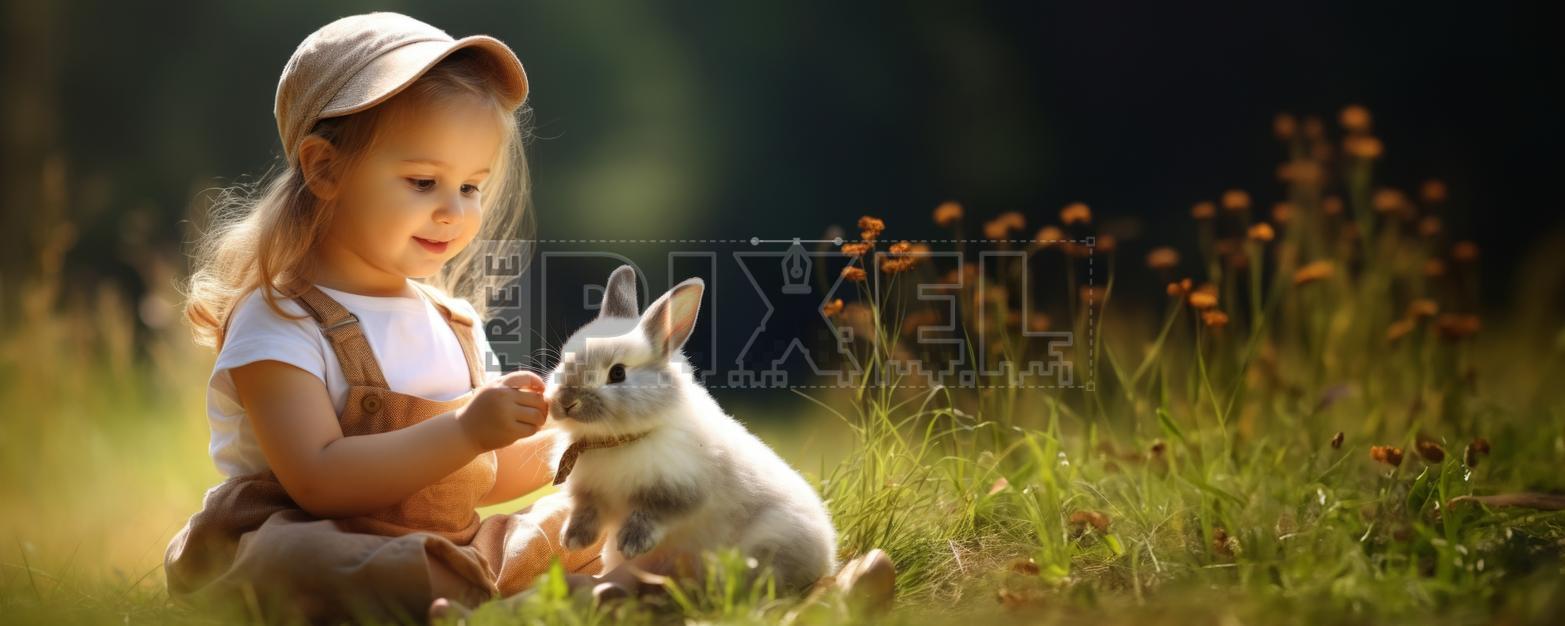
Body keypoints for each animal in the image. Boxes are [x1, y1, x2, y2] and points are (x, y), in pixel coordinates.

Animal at [542, 265, 838, 593]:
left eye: (617, 373)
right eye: (562, 362)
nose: (566, 401)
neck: (616, 441)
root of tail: (828, 558)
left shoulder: (679, 491)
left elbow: (655, 513)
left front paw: (631, 543)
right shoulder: (591, 493)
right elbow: (586, 511)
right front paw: (572, 539)